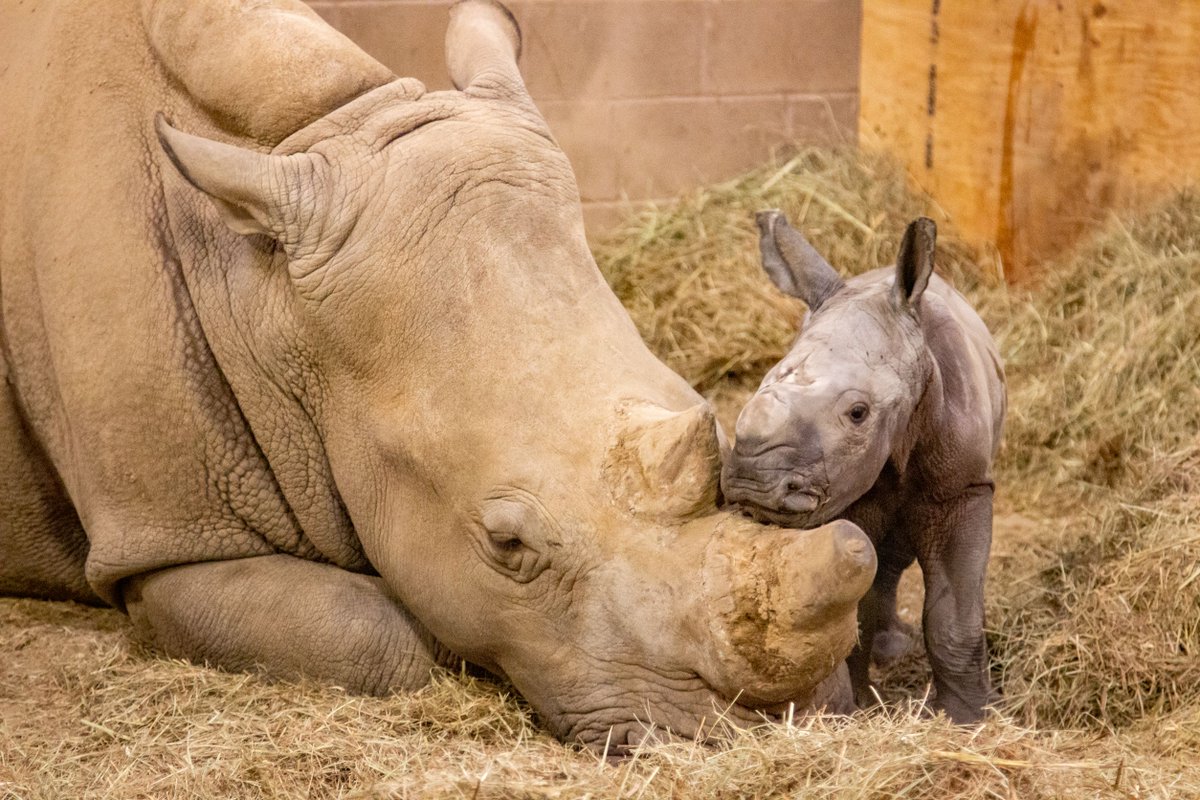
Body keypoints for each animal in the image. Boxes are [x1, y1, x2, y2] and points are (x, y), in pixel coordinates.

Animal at [721, 211, 1006, 723]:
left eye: (858, 413)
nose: (752, 484)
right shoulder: (845, 492)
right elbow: (853, 607)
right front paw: (852, 709)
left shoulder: (965, 488)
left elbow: (954, 616)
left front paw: (969, 718)